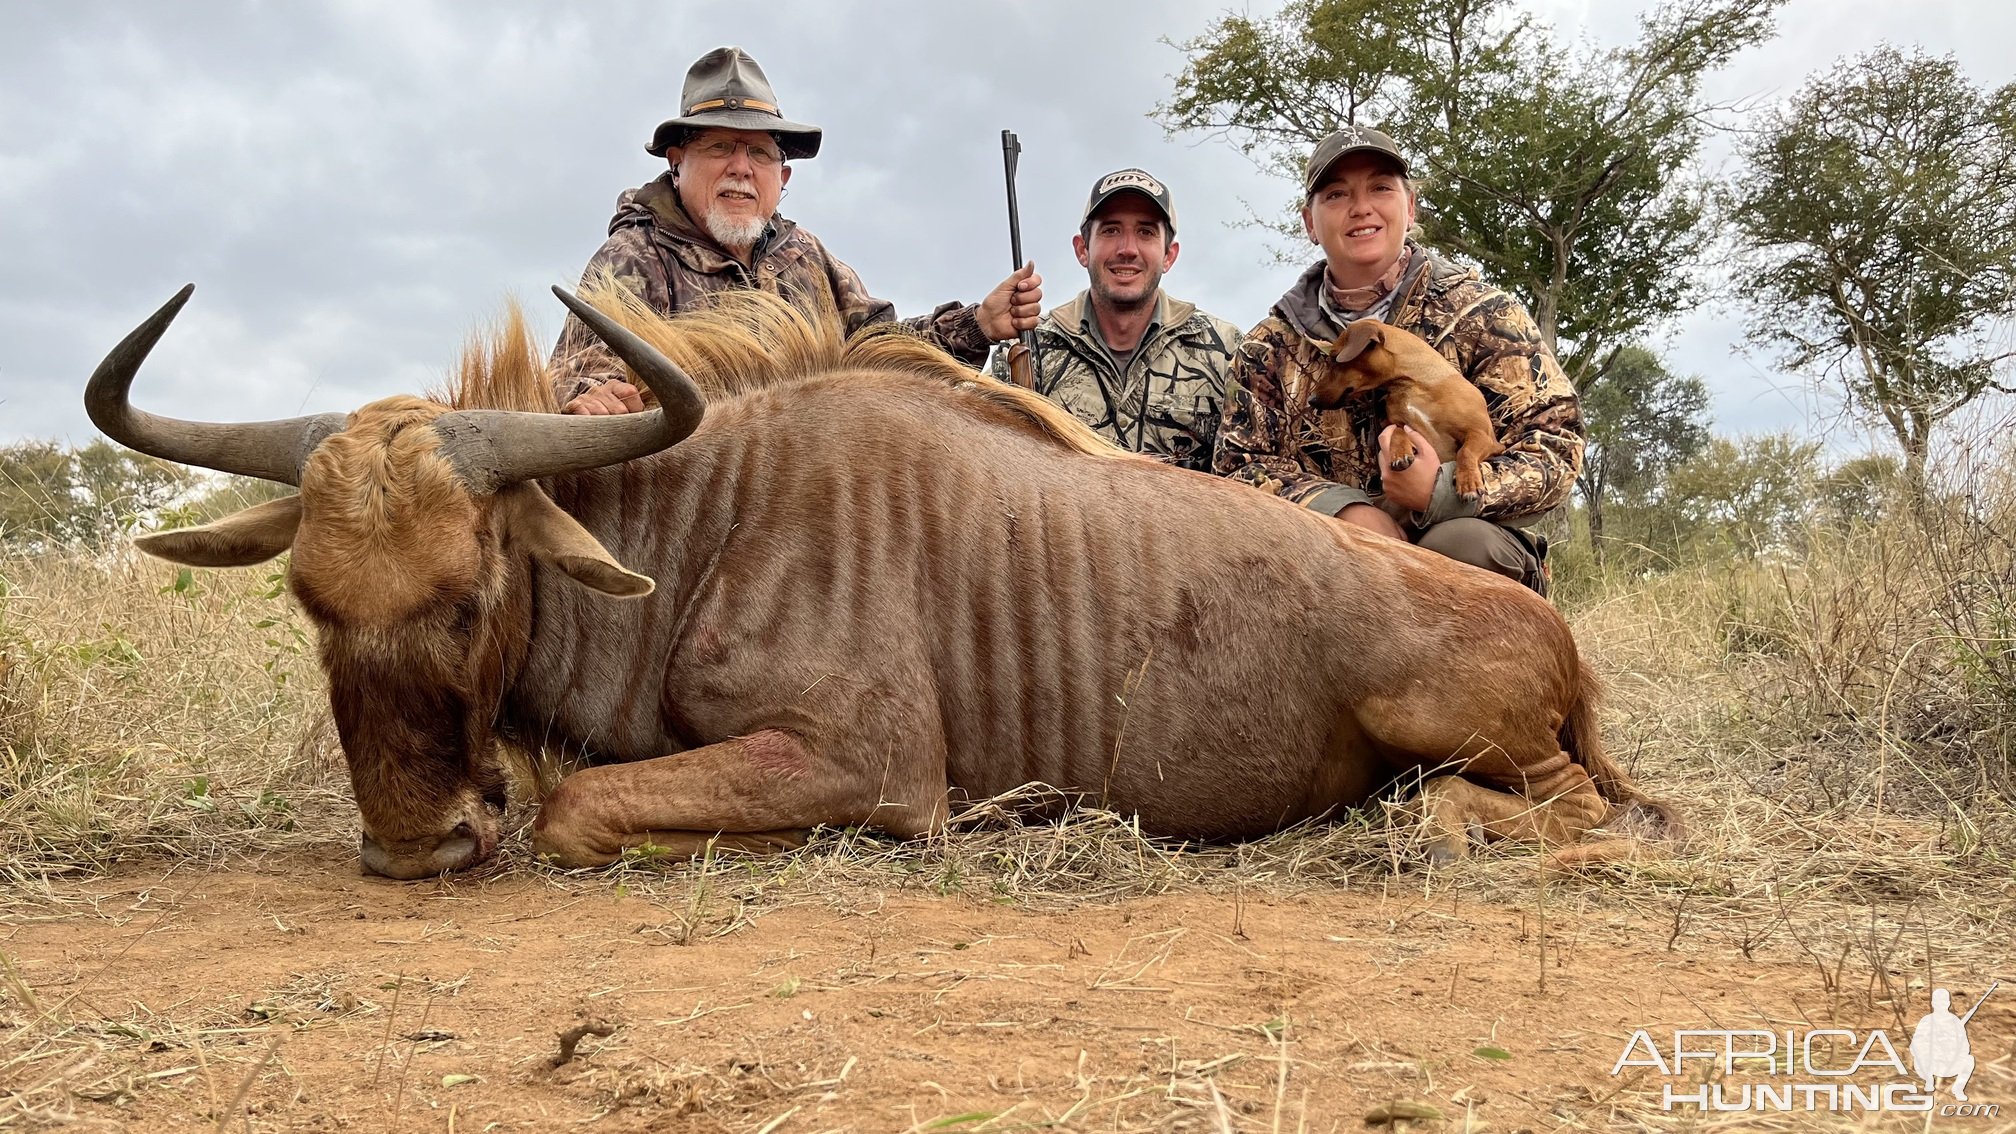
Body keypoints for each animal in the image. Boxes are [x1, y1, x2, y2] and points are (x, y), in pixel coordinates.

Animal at [1306, 318, 1499, 494]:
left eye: (1334, 358)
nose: (1311, 399)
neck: (1413, 384)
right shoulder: (1397, 424)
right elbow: (1398, 431)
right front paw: (1400, 453)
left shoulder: (1484, 437)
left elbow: (1465, 452)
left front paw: (1468, 482)